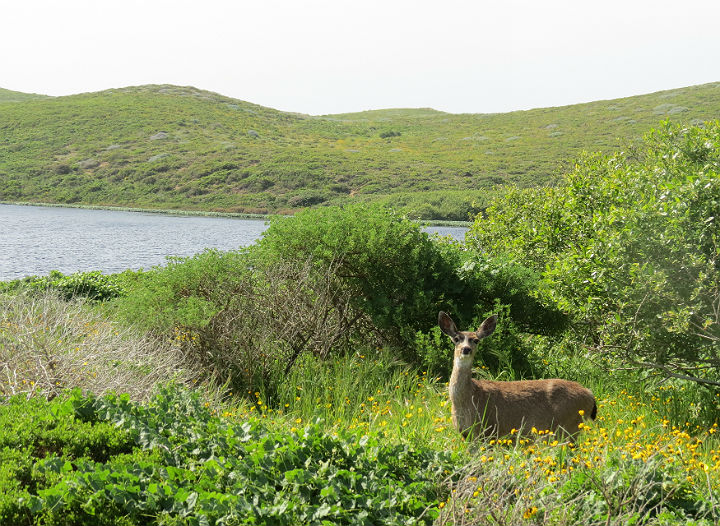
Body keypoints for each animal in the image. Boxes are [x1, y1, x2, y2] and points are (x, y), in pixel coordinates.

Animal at [438, 314, 596, 442]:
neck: (468, 397)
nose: (466, 349)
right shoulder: (467, 434)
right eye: (456, 339)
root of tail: (590, 394)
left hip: (567, 427)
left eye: (476, 340)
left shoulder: (487, 430)